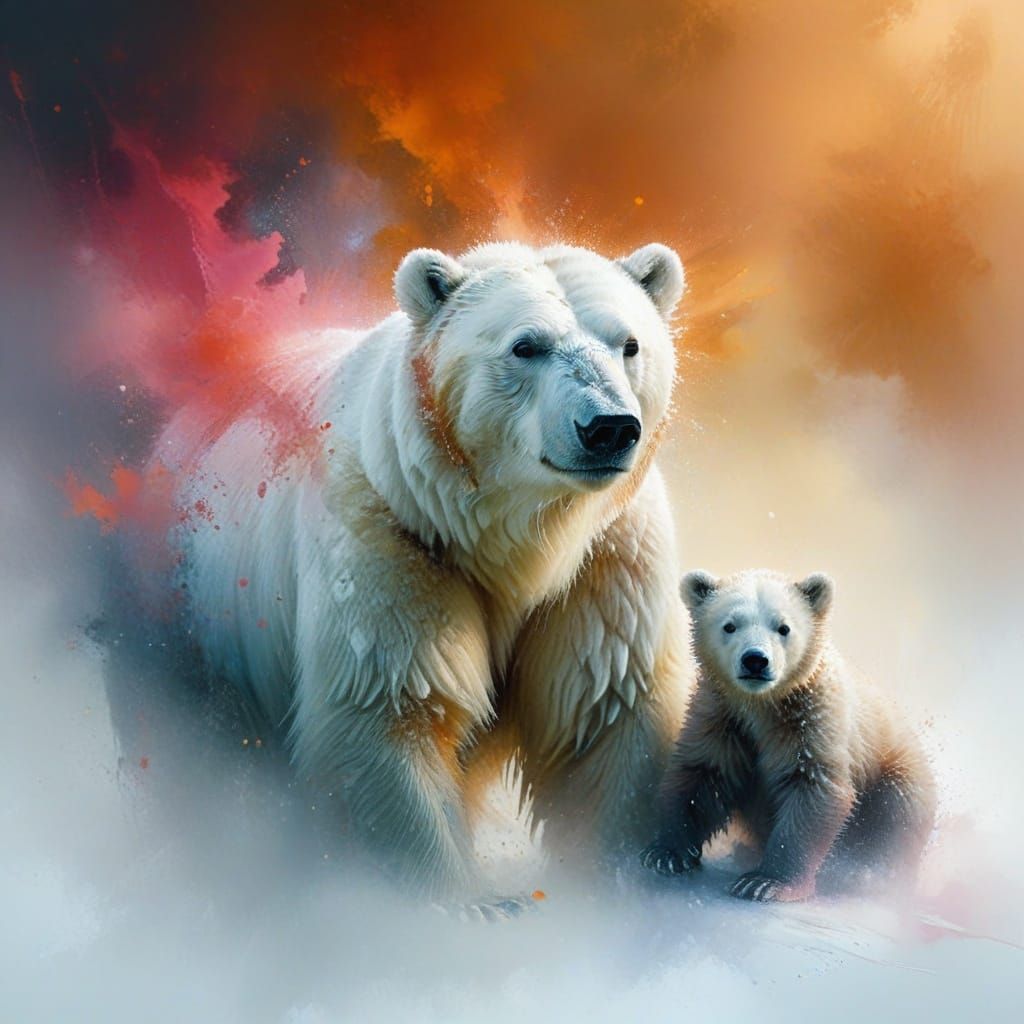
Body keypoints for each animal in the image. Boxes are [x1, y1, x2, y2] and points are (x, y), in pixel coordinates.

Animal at [154, 241, 692, 912]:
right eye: (526, 345)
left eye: (629, 343)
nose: (609, 427)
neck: (515, 538)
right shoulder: (390, 535)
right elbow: (389, 707)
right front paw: (466, 904)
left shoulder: (606, 557)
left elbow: (606, 709)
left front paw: (606, 877)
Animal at [640, 569, 936, 902]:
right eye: (729, 625)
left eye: (783, 628)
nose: (755, 660)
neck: (763, 706)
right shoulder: (722, 717)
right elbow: (703, 774)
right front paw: (666, 853)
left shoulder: (812, 721)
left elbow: (811, 789)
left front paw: (764, 882)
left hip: (896, 771)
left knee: (896, 814)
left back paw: (868, 874)